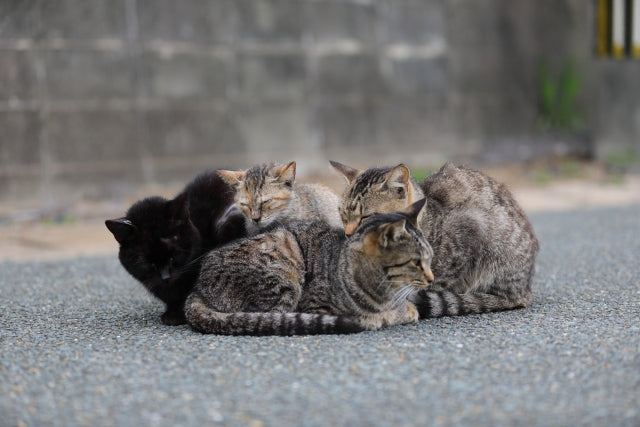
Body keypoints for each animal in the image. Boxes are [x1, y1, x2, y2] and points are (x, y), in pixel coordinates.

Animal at [184, 199, 436, 336]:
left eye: (430, 258)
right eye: (416, 262)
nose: (432, 279)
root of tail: (197, 287)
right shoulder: (317, 305)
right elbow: (378, 315)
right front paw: (388, 315)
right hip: (286, 270)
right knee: (269, 317)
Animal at [330, 160, 540, 318]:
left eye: (366, 217)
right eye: (343, 215)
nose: (348, 233)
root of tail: (525, 290)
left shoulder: (467, 232)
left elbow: (433, 281)